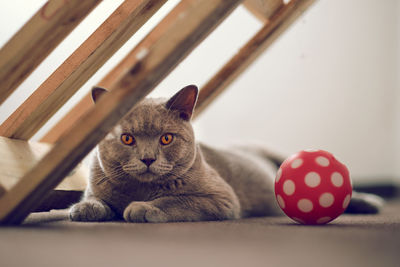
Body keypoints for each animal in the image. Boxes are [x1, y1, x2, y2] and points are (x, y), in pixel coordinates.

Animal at [69, 85, 384, 223]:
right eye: (127, 139)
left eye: (166, 138)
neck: (141, 189)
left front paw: (143, 208)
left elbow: (176, 199)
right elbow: (96, 198)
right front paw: (84, 209)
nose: (148, 159)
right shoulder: (96, 185)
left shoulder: (221, 199)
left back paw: (371, 202)